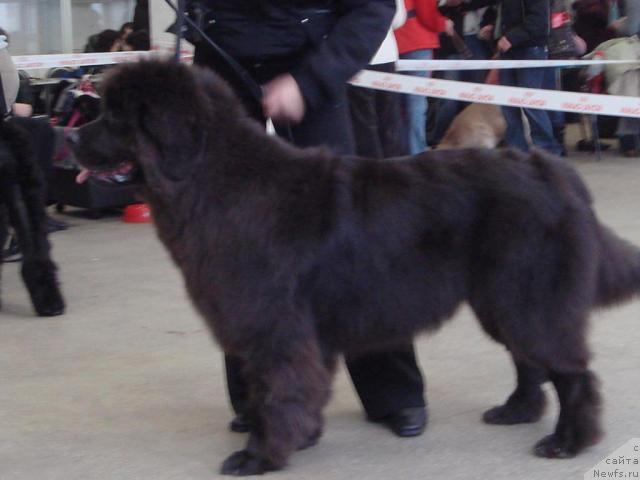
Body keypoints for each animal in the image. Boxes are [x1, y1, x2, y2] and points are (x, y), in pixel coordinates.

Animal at [70, 61, 640, 476]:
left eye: (115, 117)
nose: (71, 139)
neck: (215, 180)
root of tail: (554, 171)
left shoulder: (274, 329)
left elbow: (273, 394)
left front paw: (259, 455)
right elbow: (295, 390)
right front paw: (300, 437)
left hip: (528, 295)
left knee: (571, 371)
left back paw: (566, 441)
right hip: (501, 299)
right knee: (530, 361)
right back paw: (517, 411)